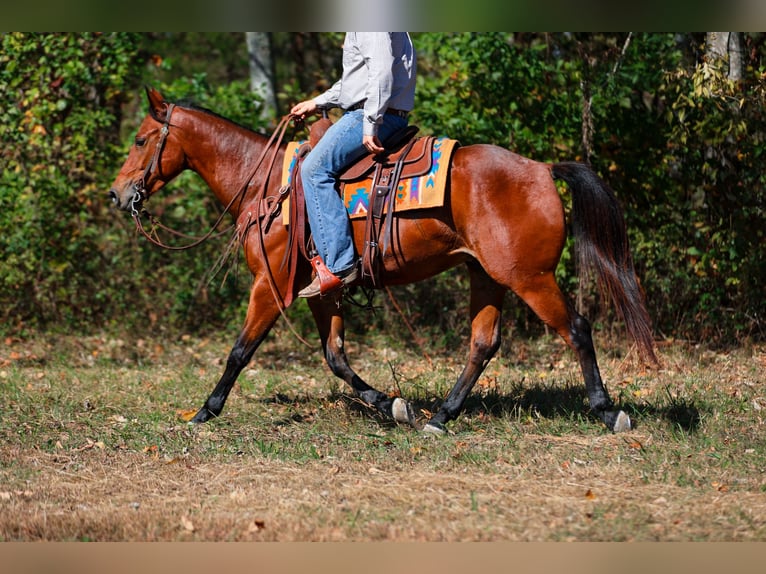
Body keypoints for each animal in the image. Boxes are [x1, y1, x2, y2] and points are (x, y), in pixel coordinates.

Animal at [109, 87, 656, 435]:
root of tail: (543, 168)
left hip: (530, 277)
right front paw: (393, 405)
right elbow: (335, 357)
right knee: (483, 343)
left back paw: (608, 412)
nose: (117, 195)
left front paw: (204, 412)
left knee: (577, 329)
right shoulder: (320, 291)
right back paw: (439, 418)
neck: (263, 183)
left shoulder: (271, 284)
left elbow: (240, 352)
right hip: (486, 275)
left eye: (140, 140)